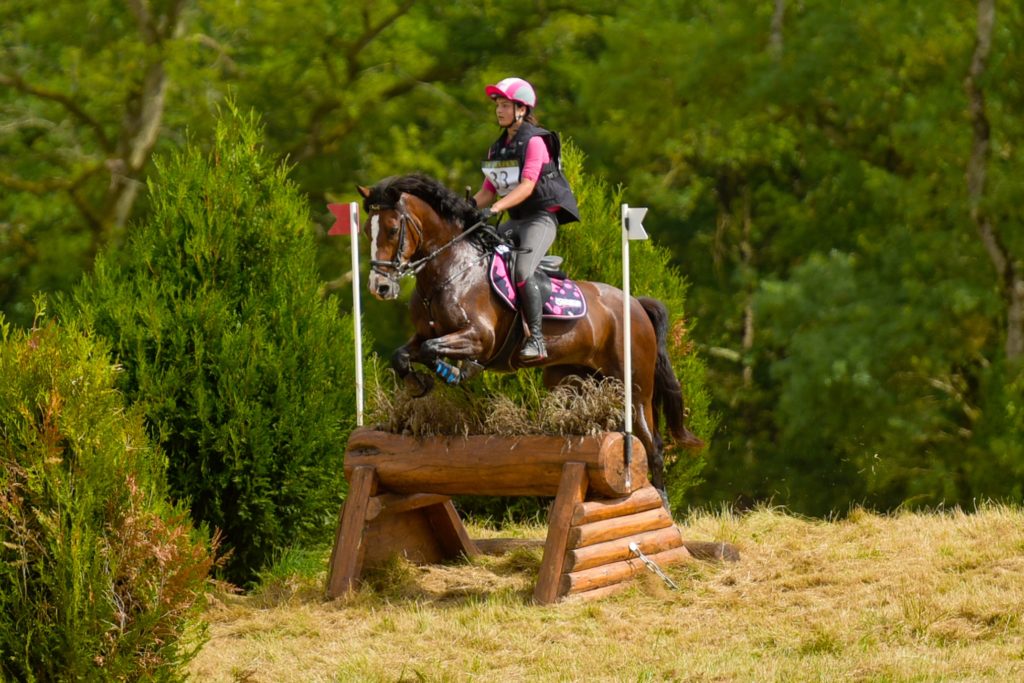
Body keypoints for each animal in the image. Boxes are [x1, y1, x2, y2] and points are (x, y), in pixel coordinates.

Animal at [356, 174, 700, 499]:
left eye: (391, 229)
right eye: (366, 232)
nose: (380, 287)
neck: (450, 271)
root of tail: (635, 304)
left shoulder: (479, 337)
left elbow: (432, 350)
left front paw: (453, 371)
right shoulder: (424, 334)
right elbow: (404, 354)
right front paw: (419, 383)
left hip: (635, 386)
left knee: (652, 444)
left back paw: (661, 501)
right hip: (573, 379)